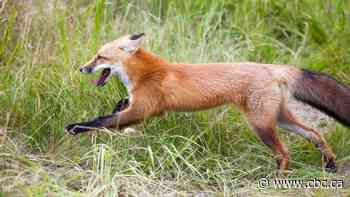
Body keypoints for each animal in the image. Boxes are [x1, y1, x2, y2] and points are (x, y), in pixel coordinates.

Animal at [65, 32, 350, 172]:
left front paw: (76, 127)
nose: (81, 68)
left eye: (100, 57)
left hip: (261, 125)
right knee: (314, 133)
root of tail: (269, 67)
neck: (147, 73)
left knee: (285, 152)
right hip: (278, 118)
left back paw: (278, 178)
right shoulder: (140, 107)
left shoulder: (144, 110)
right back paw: (330, 164)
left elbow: (103, 120)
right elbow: (116, 108)